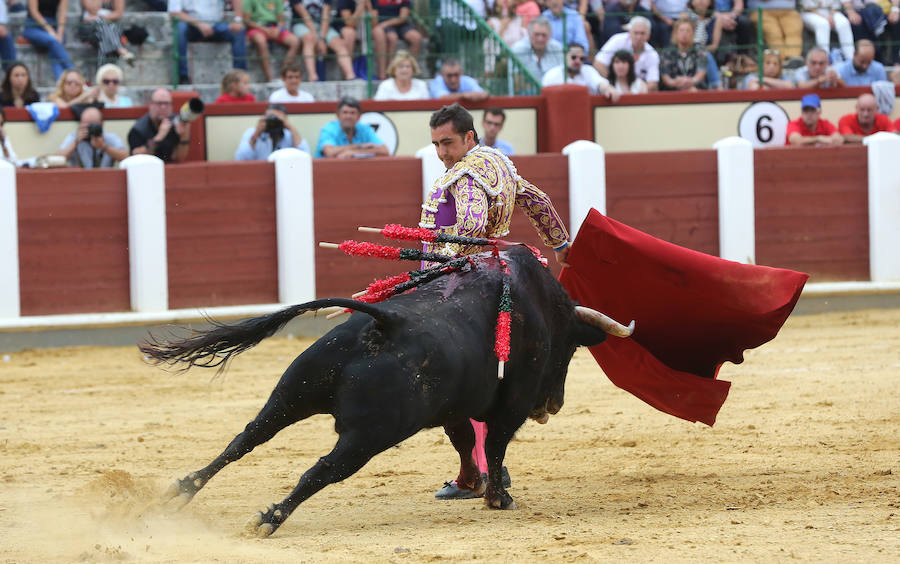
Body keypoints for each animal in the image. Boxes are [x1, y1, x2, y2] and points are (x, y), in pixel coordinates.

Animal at [142, 247, 632, 536]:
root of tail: (385, 324)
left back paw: (181, 490)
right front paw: (498, 497)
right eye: (570, 348)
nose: (553, 406)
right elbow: (494, 445)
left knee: (246, 437)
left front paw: (471, 486)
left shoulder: (453, 408)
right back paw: (270, 518)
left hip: (292, 393)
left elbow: (464, 440)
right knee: (322, 469)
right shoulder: (509, 406)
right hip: (370, 435)